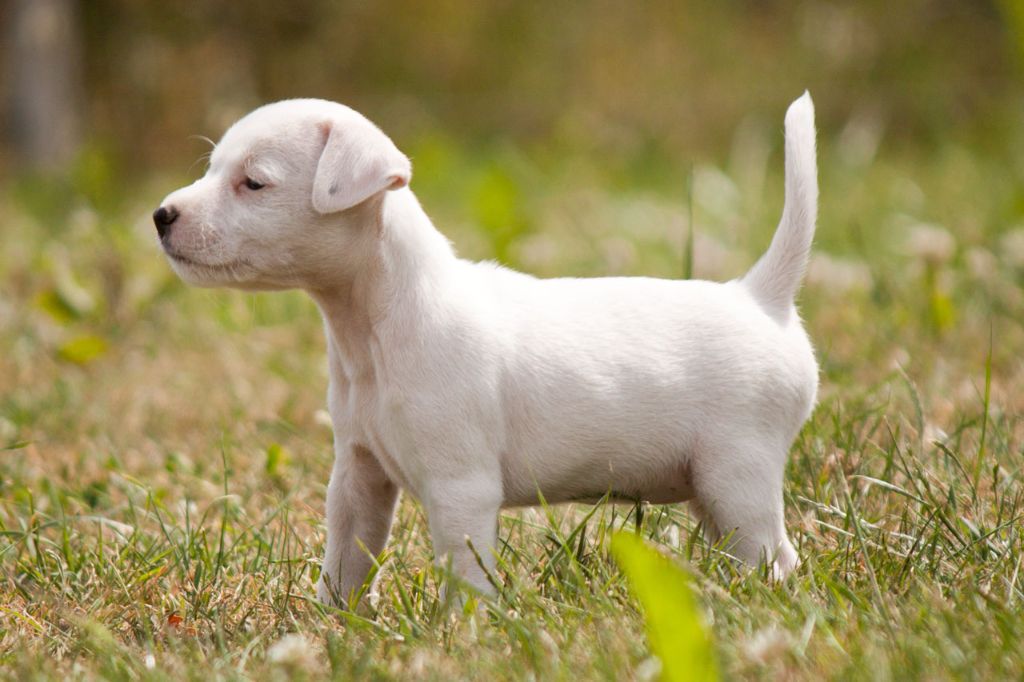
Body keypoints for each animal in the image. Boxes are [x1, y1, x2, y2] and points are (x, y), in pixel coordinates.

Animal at [154, 93, 818, 607]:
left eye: (254, 182)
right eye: (213, 168)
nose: (161, 214)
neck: (379, 327)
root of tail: (762, 298)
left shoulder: (460, 491)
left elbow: (465, 577)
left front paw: (460, 633)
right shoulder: (358, 479)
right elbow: (346, 562)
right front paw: (333, 623)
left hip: (738, 476)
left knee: (779, 558)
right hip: (713, 490)